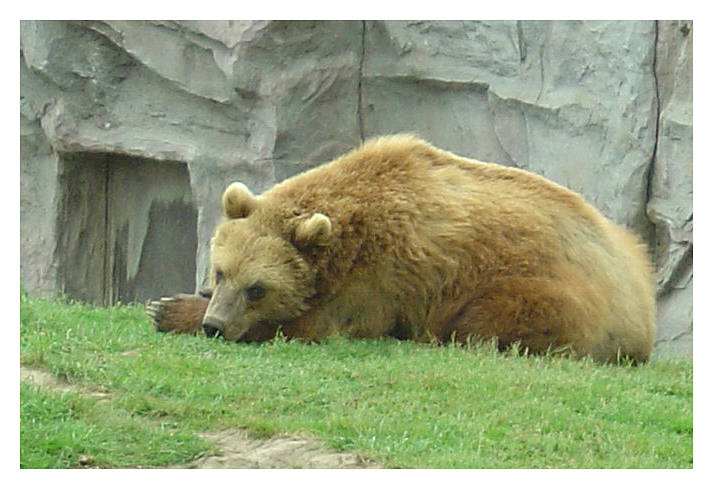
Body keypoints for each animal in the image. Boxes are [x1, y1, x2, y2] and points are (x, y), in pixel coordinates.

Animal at [146, 135, 656, 363]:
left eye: (258, 289)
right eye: (221, 273)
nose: (215, 325)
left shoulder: (383, 276)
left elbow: (315, 326)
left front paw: (169, 309)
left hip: (549, 292)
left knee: (492, 318)